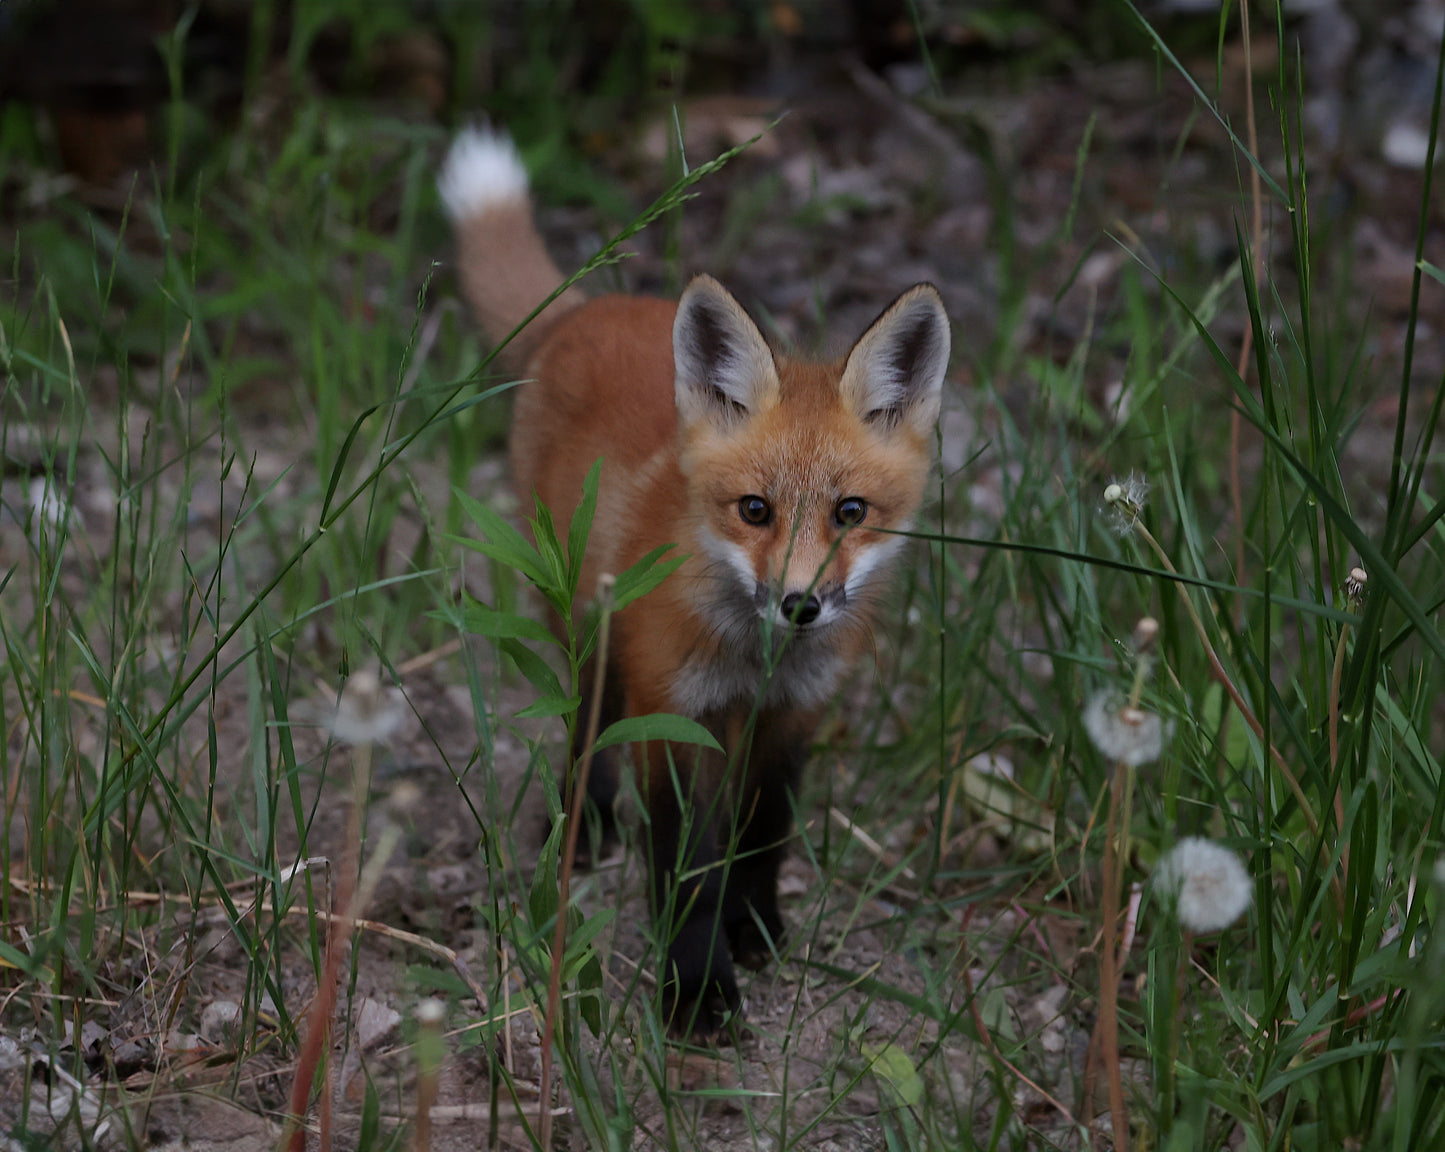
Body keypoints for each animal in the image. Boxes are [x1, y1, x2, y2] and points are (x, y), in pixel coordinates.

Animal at [440, 128, 950, 1038]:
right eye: (753, 510)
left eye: (850, 512)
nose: (799, 605)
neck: (752, 660)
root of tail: (586, 308)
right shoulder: (671, 717)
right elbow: (685, 868)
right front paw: (696, 986)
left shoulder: (792, 716)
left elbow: (763, 830)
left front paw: (755, 925)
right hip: (583, 628)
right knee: (586, 729)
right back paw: (585, 827)